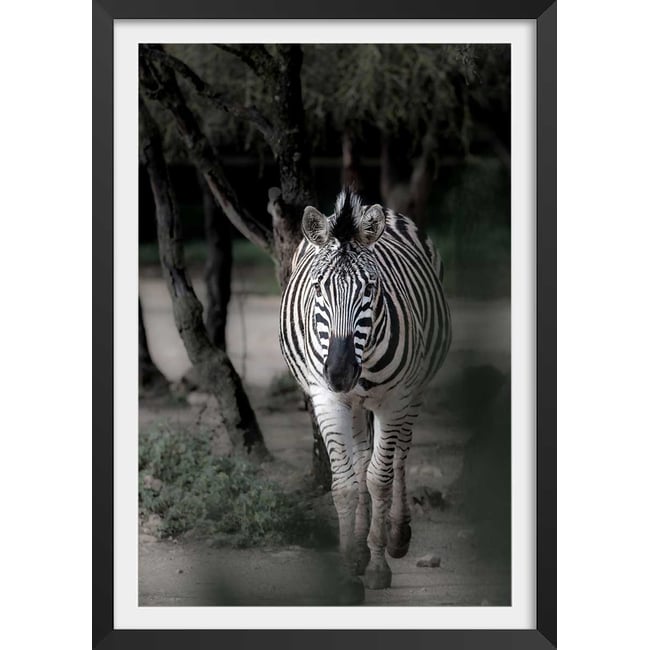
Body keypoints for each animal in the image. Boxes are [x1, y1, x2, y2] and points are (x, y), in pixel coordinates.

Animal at [279, 189, 451, 603]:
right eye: (318, 288)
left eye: (370, 290)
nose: (340, 372)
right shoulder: (327, 398)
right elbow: (345, 485)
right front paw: (348, 572)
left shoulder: (394, 399)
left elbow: (379, 479)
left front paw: (377, 566)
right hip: (354, 404)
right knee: (359, 460)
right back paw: (358, 549)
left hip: (414, 391)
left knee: (400, 456)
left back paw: (397, 536)